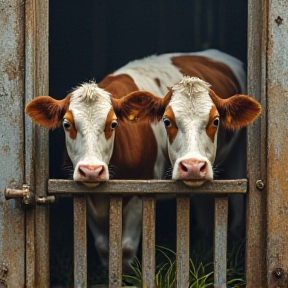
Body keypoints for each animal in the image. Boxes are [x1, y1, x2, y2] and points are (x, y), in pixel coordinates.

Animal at [25, 49, 262, 266]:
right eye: (67, 124)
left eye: (113, 123)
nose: (91, 171)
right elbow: (104, 248)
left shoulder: (139, 192)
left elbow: (126, 249)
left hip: (239, 152)